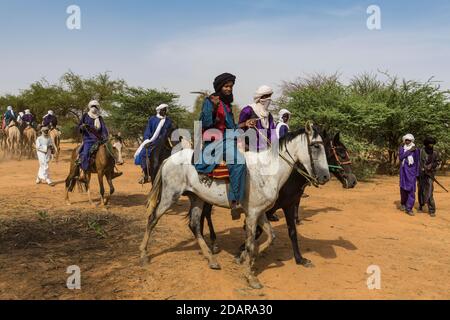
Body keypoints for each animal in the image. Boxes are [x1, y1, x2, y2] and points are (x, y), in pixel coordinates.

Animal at [139, 124, 328, 288]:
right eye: (315, 146)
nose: (326, 176)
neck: (266, 171)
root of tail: (168, 159)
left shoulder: (261, 212)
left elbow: (270, 237)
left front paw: (247, 258)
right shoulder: (252, 214)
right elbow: (251, 242)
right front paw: (251, 276)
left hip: (197, 198)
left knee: (194, 225)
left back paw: (211, 259)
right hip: (169, 196)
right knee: (152, 219)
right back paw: (143, 254)